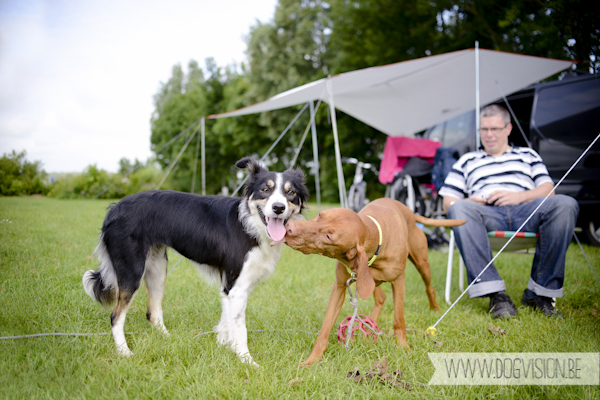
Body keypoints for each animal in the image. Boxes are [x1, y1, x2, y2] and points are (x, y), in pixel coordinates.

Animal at [284, 198, 464, 366]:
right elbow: (325, 328)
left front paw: (403, 347)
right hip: (369, 281)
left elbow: (399, 319)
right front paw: (313, 359)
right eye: (320, 215)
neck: (374, 236)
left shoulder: (398, 281)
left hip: (421, 263)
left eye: (328, 236)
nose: (289, 228)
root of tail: (411, 213)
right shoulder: (341, 286)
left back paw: (434, 308)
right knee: (380, 297)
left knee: (429, 287)